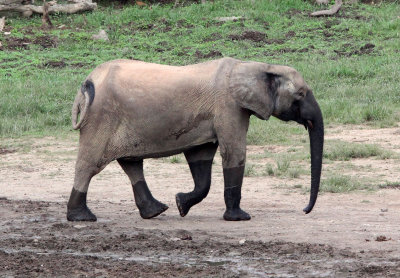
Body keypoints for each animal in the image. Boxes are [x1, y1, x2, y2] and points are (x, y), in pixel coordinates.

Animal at [67, 57, 324, 223]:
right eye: (300, 94)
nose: (304, 210)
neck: (256, 66)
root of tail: (86, 83)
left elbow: (201, 158)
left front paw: (181, 204)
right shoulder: (228, 107)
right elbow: (234, 153)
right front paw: (240, 218)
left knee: (131, 163)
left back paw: (156, 211)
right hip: (101, 116)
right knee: (89, 164)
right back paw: (82, 218)